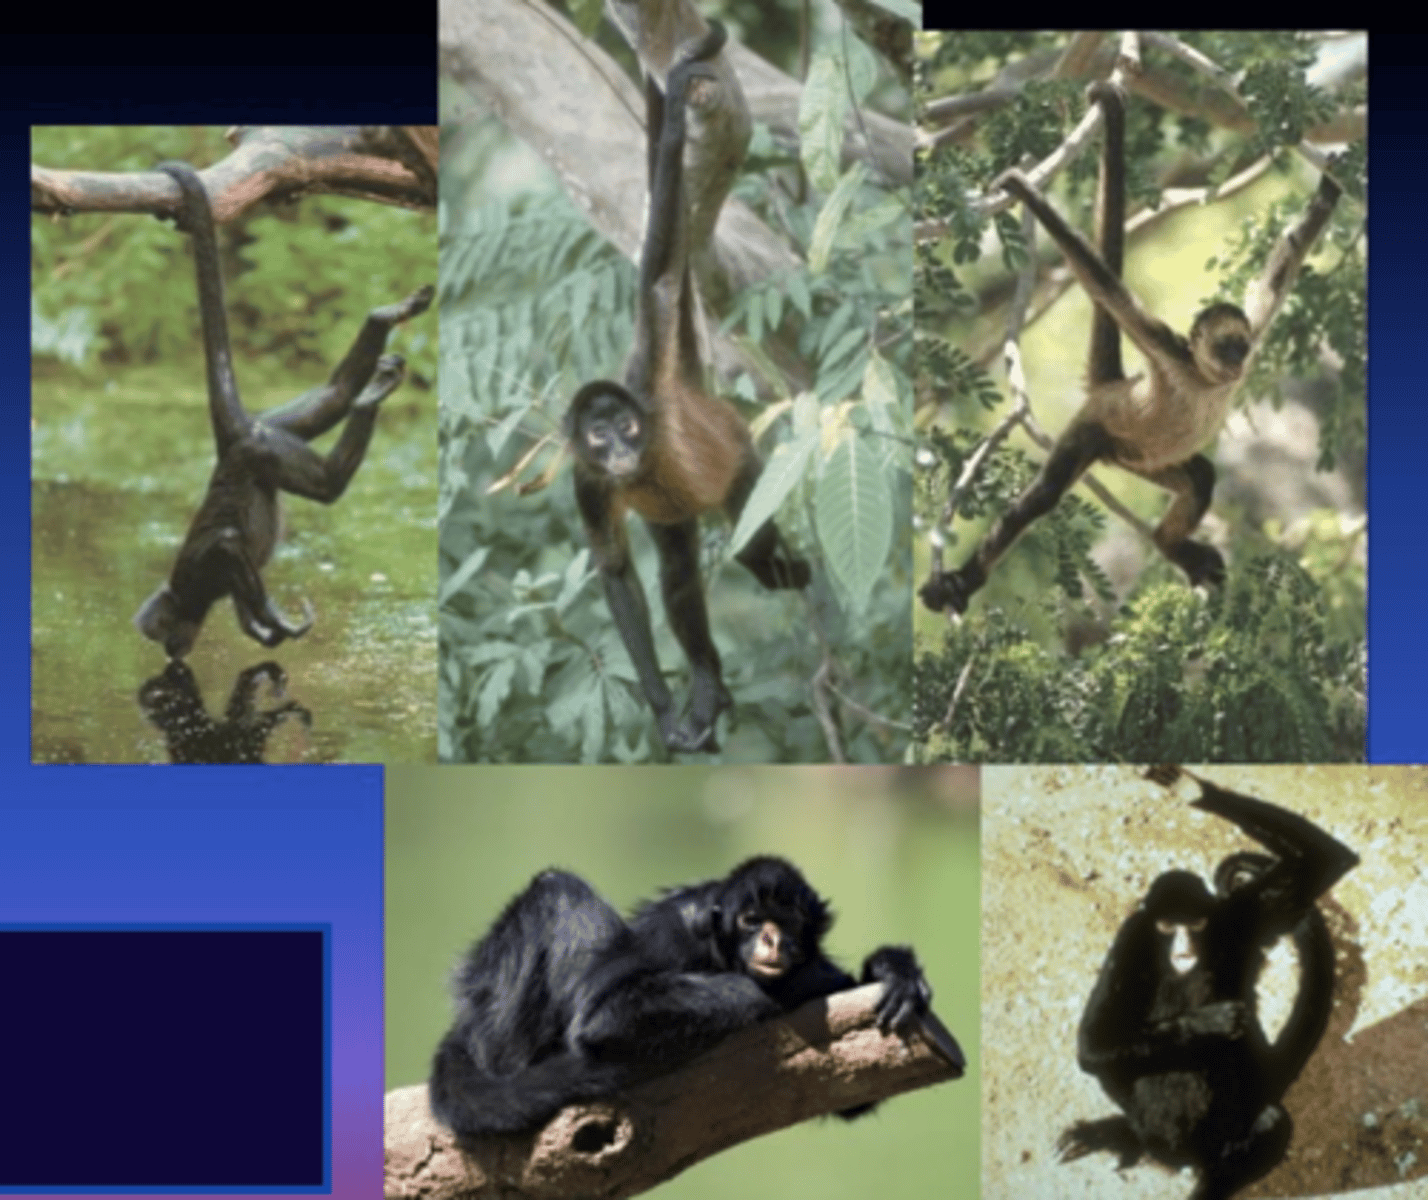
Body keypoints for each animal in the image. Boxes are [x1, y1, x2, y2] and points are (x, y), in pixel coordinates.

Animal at [134, 161, 433, 658]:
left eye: (161, 633)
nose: (172, 649)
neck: (182, 595)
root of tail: (235, 439)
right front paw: (264, 629)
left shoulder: (196, 574)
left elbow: (226, 546)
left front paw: (271, 617)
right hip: (272, 433)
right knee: (332, 395)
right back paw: (378, 339)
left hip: (263, 449)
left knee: (327, 484)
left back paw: (371, 383)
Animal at [566, 21, 810, 755]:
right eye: (598, 434)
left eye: (626, 426)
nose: (620, 449)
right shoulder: (585, 479)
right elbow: (616, 570)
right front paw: (662, 706)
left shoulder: (647, 376)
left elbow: (659, 277)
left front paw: (673, 114)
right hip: (674, 515)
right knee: (675, 574)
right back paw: (708, 681)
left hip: (743, 461)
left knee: (749, 539)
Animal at [920, 83, 1342, 616]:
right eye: (1223, 346)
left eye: (1241, 346)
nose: (1236, 362)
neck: (1203, 378)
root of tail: (1112, 388)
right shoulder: (1163, 346)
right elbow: (1103, 284)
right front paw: (1026, 193)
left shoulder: (1256, 321)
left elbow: (1282, 267)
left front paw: (1328, 192)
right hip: (1095, 432)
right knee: (1044, 497)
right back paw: (962, 580)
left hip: (1141, 458)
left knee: (1200, 476)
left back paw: (1169, 545)